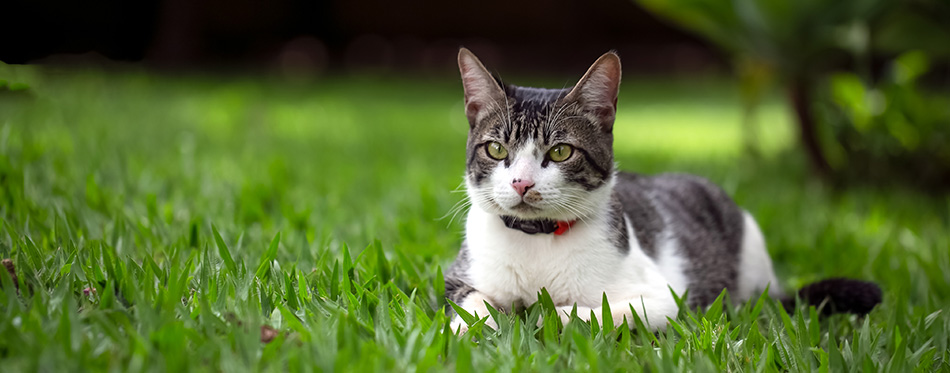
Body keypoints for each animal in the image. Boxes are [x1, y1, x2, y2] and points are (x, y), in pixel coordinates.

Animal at [442, 47, 880, 332]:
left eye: (561, 151)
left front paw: (545, 314)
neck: (537, 242)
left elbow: (592, 313)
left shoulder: (661, 297)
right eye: (497, 149)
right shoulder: (457, 280)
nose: (522, 182)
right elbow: (472, 308)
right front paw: (480, 327)